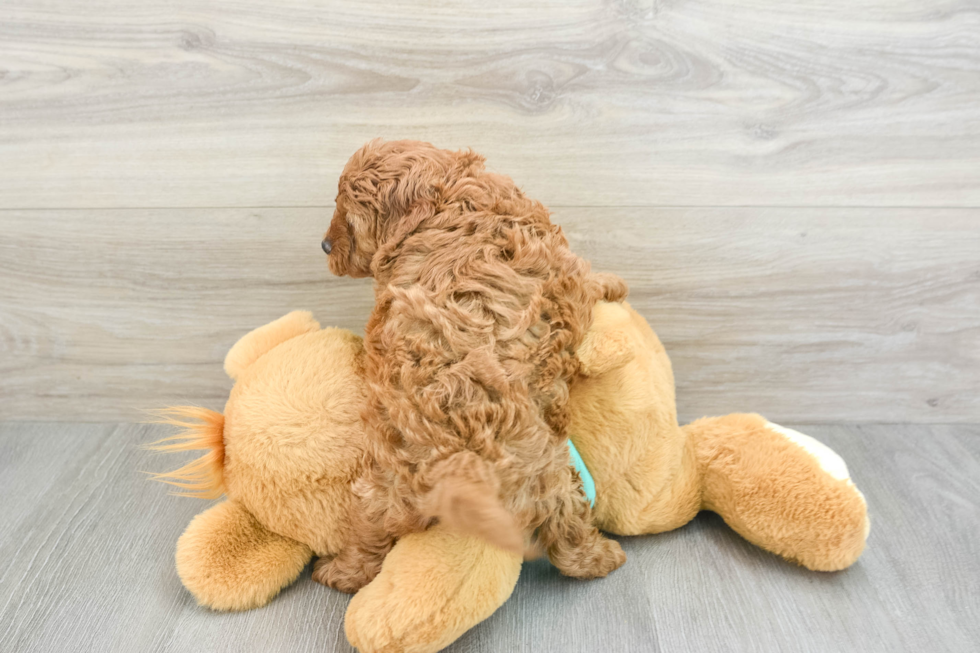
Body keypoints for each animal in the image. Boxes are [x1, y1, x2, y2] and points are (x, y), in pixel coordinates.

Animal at [318, 138, 632, 592]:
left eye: (348, 216)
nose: (325, 246)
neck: (449, 199)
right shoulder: (564, 273)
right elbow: (588, 282)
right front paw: (614, 284)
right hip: (551, 472)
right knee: (567, 526)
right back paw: (602, 558)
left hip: (381, 485)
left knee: (370, 529)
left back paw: (342, 572)